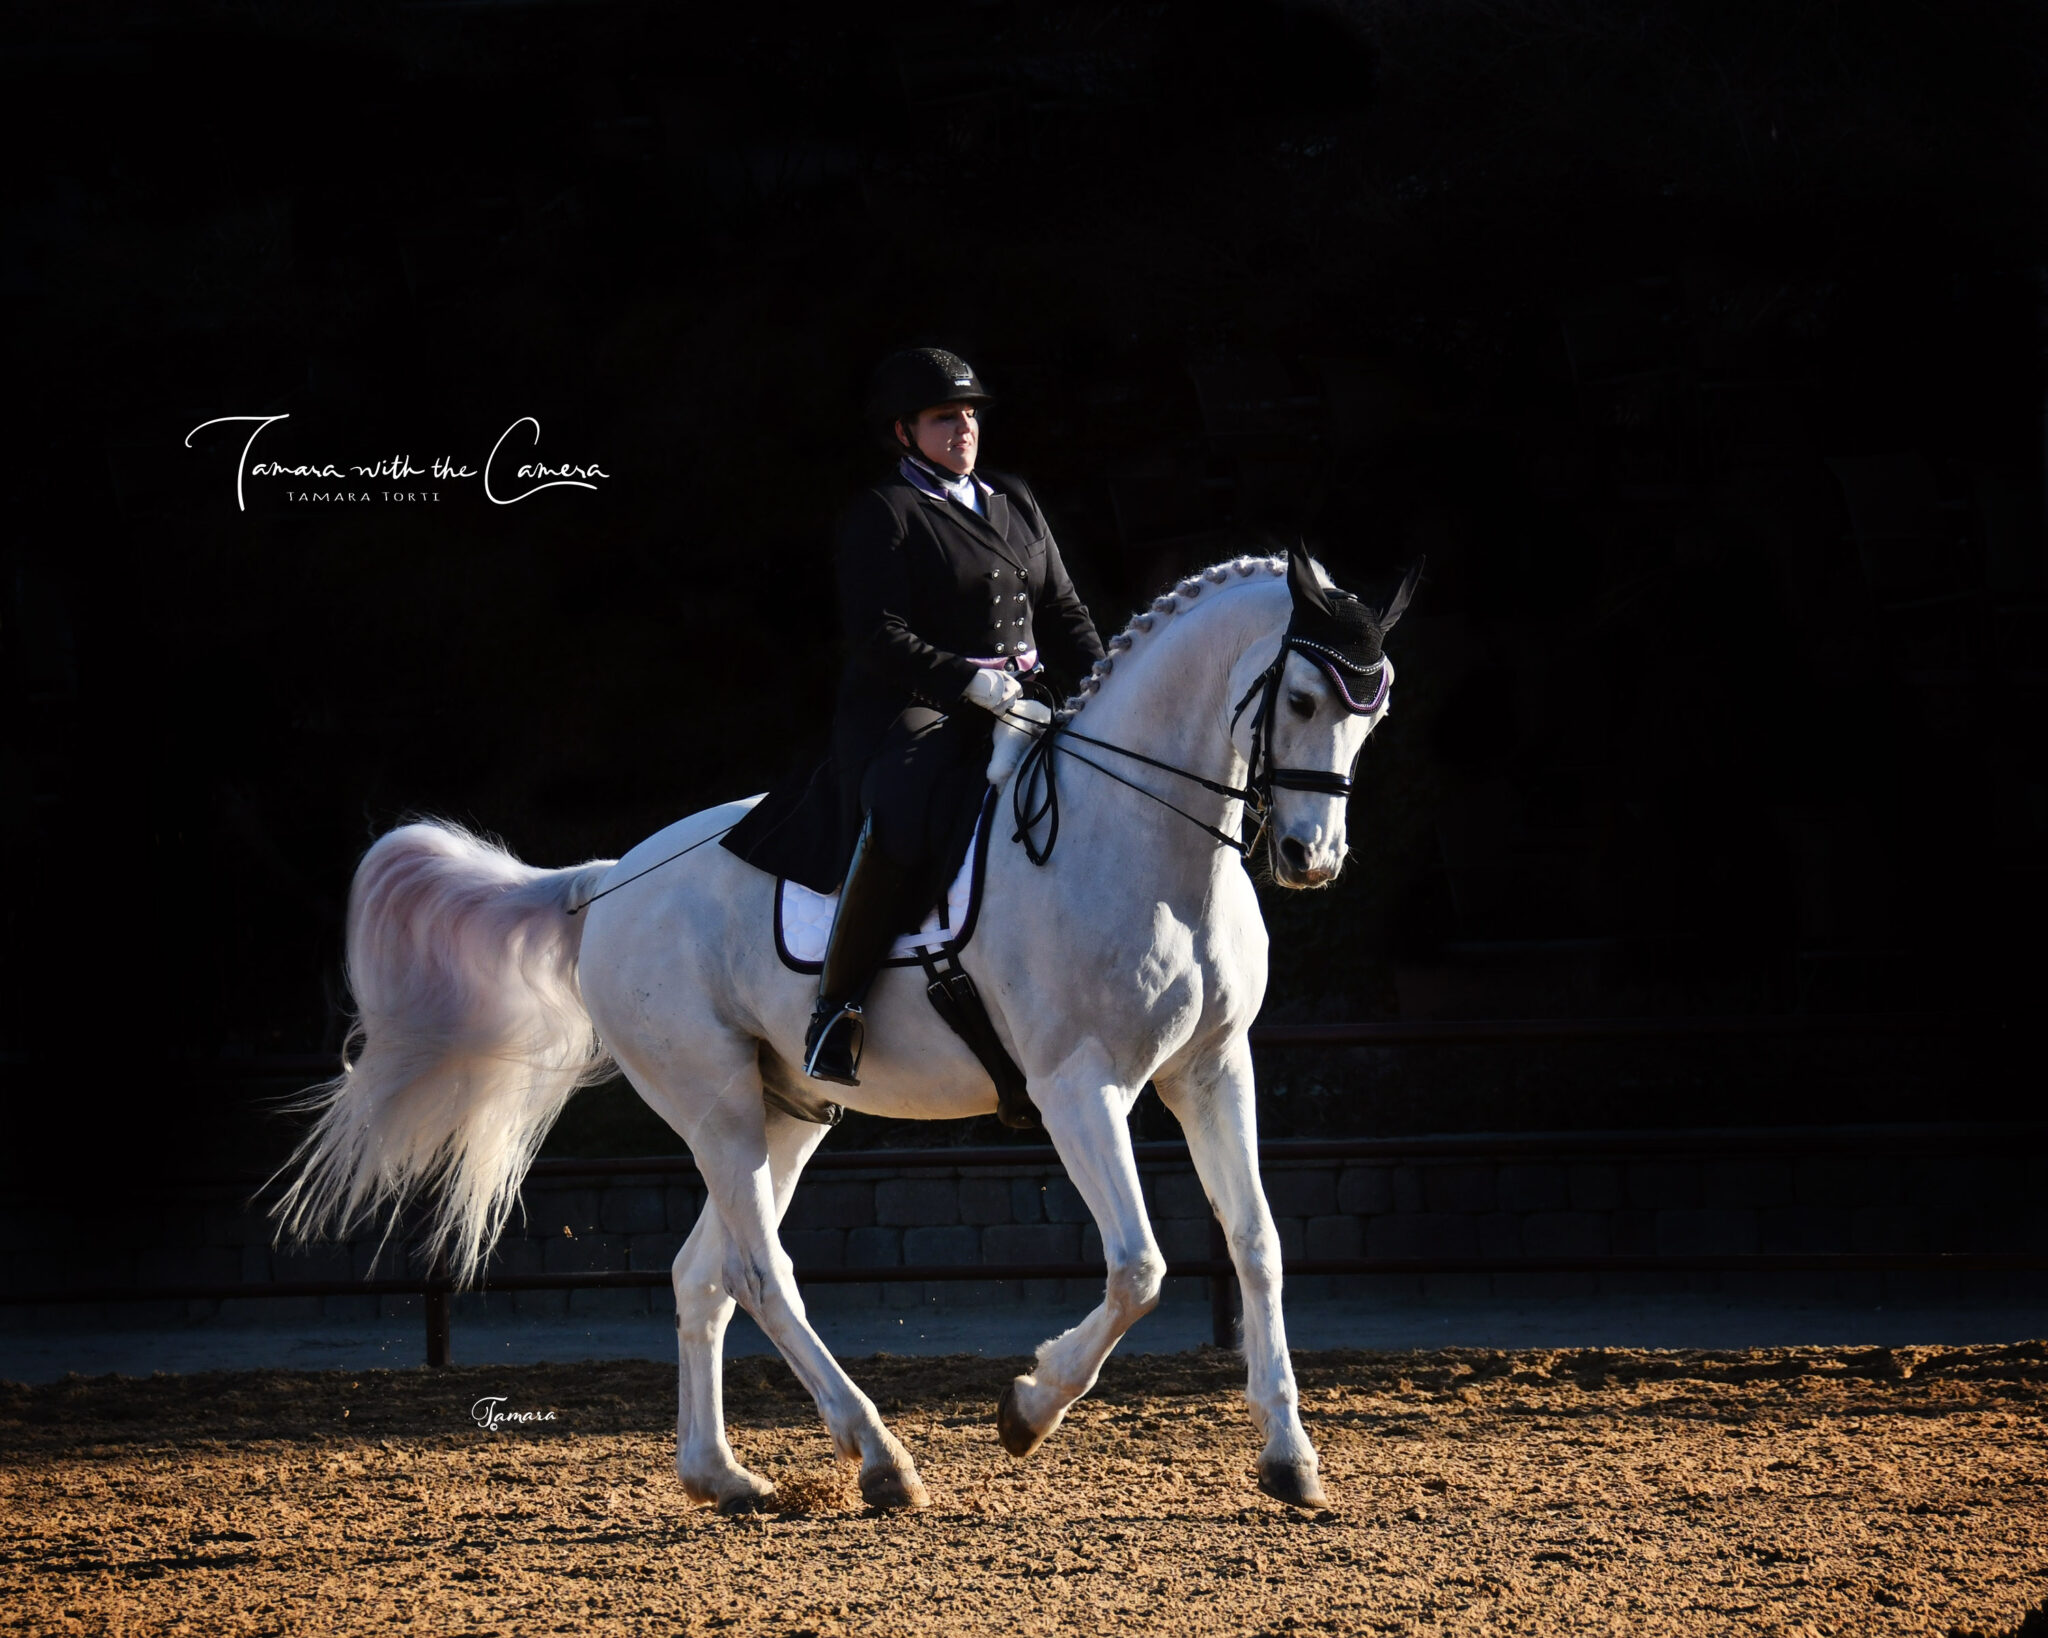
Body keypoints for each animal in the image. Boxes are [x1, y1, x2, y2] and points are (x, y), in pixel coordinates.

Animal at [268, 548, 1409, 1506]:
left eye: (1375, 710)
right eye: (1301, 699)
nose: (1310, 858)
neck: (1137, 840)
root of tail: (607, 883)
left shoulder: (1213, 1071)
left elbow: (1255, 1243)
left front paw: (1289, 1459)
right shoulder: (1077, 1087)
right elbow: (1138, 1267)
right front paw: (1026, 1408)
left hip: (786, 1112)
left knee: (704, 1275)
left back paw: (723, 1477)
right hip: (716, 1105)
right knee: (761, 1274)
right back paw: (879, 1460)